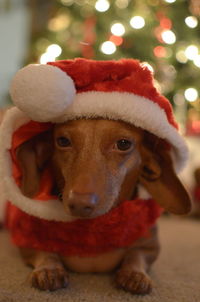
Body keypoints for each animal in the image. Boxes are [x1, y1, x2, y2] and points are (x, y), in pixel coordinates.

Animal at [8, 118, 191, 294]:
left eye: (124, 144)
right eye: (63, 141)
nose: (79, 204)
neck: (96, 228)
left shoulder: (150, 247)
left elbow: (136, 255)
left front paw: (135, 274)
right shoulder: (27, 240)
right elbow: (45, 252)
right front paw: (49, 269)